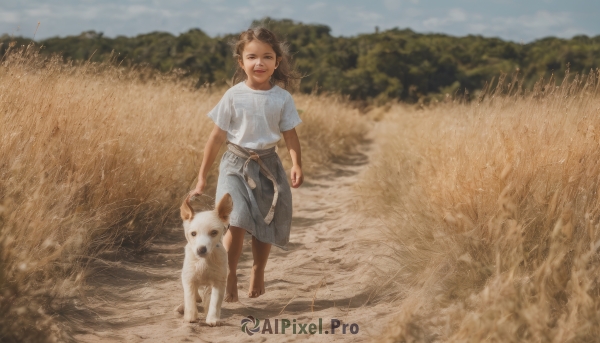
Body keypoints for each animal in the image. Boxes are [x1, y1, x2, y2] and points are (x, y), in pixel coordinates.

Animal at [173, 194, 232, 328]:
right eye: (193, 233)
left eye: (214, 232)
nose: (201, 249)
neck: (204, 261)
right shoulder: (188, 278)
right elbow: (189, 297)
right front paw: (190, 317)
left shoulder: (219, 281)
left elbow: (214, 301)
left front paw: (212, 319)